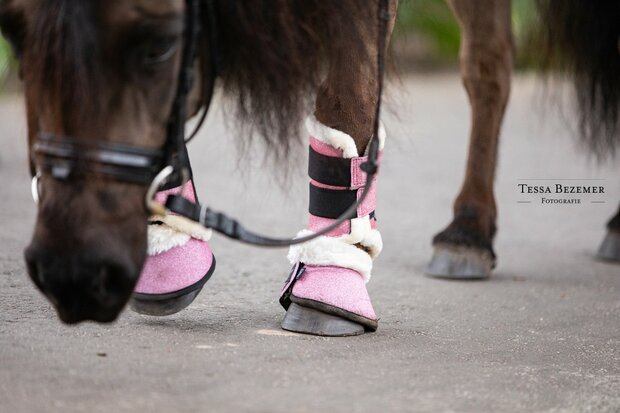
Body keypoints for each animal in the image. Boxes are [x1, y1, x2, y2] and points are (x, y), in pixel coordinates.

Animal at [0, 0, 616, 328]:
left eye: (159, 45)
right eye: (15, 34)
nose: (73, 274)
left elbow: (347, 102)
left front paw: (330, 285)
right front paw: (168, 252)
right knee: (489, 61)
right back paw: (471, 229)